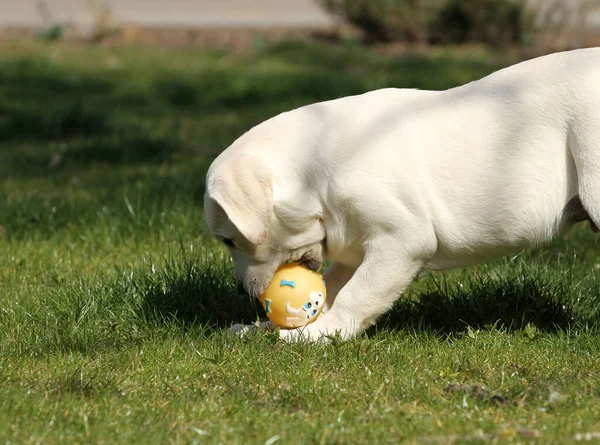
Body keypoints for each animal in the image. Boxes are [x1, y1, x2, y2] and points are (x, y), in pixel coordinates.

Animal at [205, 47, 600, 340]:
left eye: (228, 240)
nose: (240, 290)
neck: (313, 177)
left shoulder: (401, 241)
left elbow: (355, 296)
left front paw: (317, 334)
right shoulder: (354, 245)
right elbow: (334, 285)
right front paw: (262, 328)